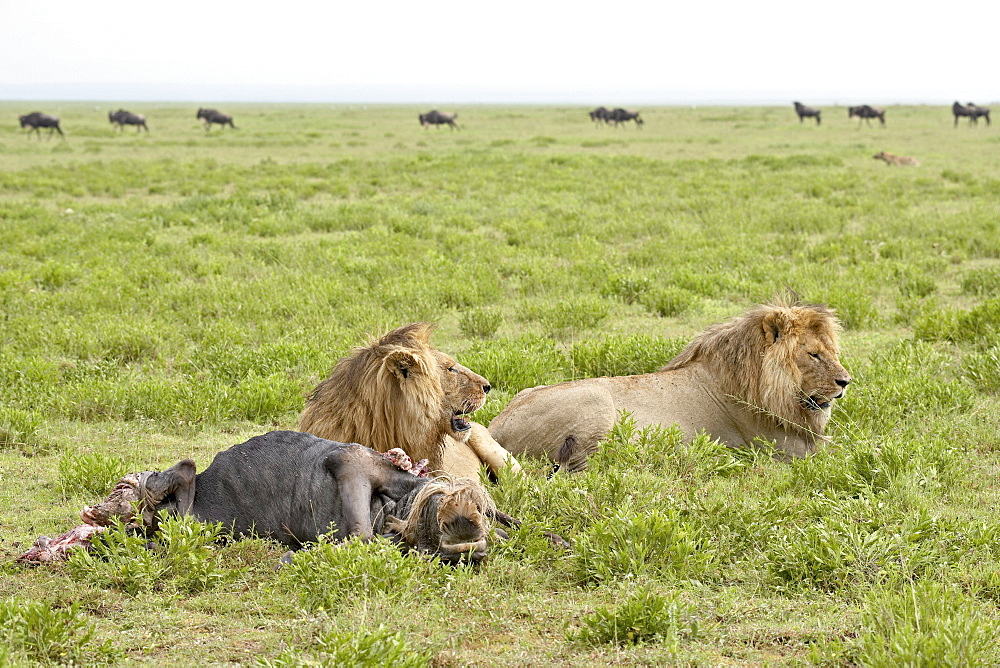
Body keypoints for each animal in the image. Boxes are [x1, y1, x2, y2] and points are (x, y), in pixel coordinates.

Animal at [490, 300, 852, 472]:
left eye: (831, 351)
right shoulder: (784, 449)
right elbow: (846, 451)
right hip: (595, 401)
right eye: (814, 354)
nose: (845, 382)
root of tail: (496, 426)